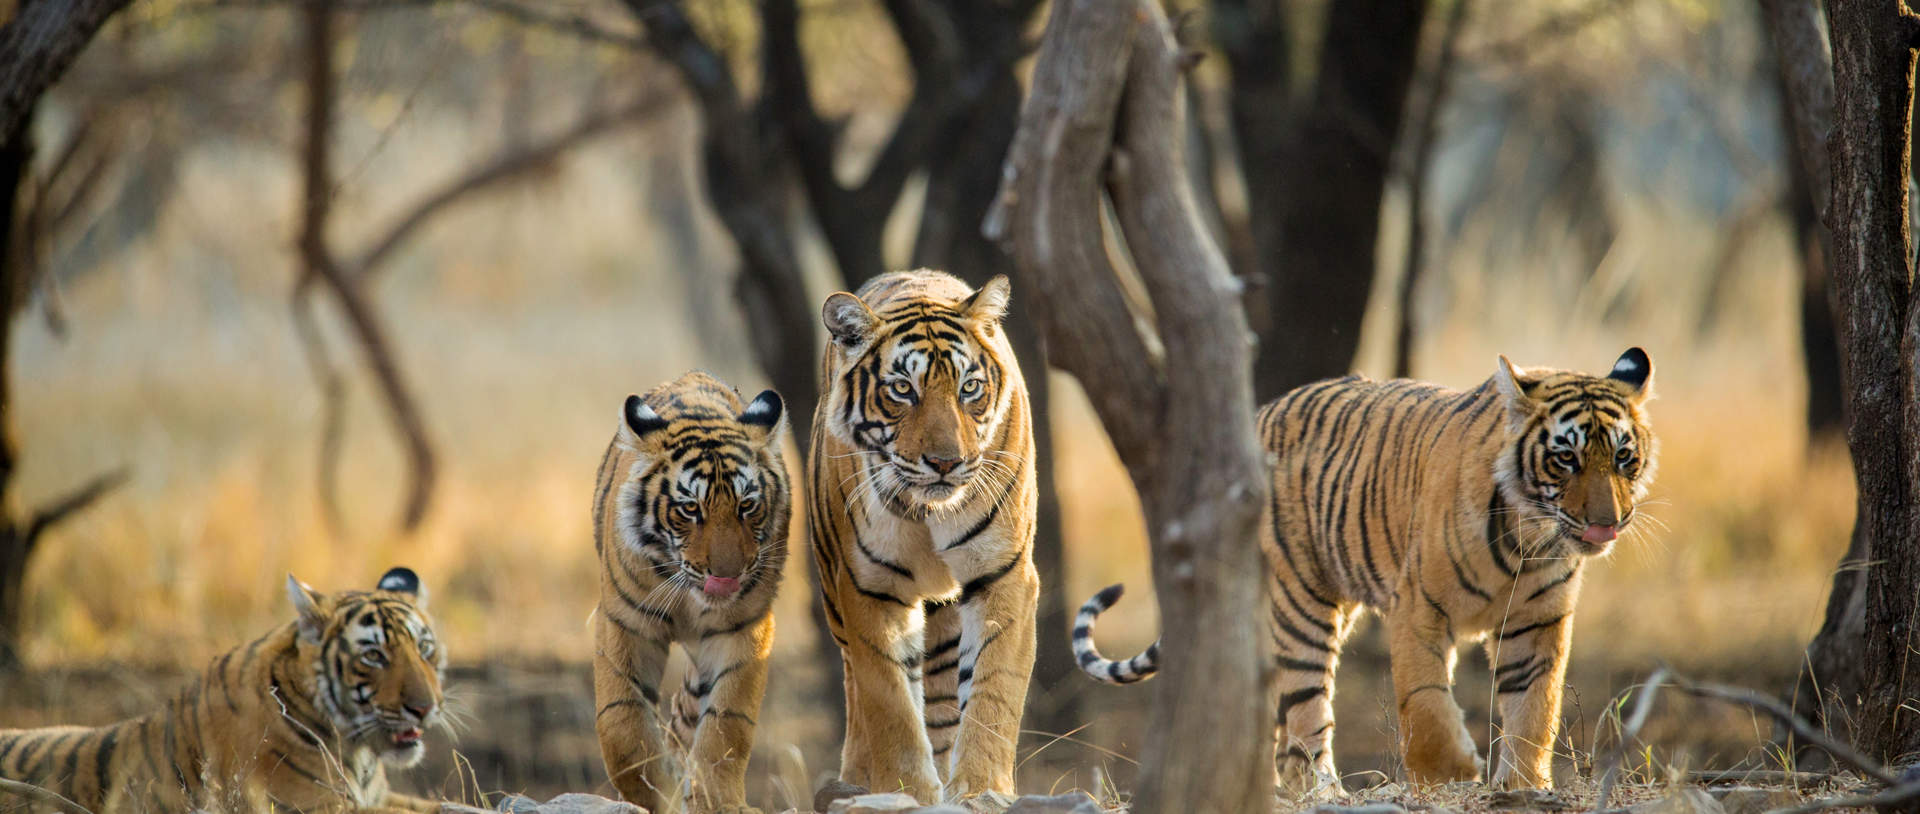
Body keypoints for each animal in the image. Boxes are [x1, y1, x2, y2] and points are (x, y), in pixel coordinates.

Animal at [591, 371, 789, 814]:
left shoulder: (743, 628)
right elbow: (622, 726)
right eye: (690, 509)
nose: (727, 576)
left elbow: (726, 725)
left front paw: (714, 800)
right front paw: (654, 791)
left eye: (747, 506)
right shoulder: (625, 623)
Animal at [807, 270, 1039, 804]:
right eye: (902, 389)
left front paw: (981, 789)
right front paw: (907, 790)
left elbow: (993, 691)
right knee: (858, 693)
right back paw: (854, 780)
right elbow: (889, 703)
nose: (946, 463)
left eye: (969, 387)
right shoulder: (870, 588)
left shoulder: (1003, 574)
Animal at [1073, 348, 1658, 792]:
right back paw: (1322, 791)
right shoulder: (1418, 607)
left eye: (1623, 457)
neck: (1528, 538)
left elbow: (1535, 708)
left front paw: (1524, 785)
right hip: (1301, 604)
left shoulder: (1537, 623)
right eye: (1566, 459)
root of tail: (1258, 415)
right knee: (1306, 713)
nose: (1607, 523)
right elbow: (1424, 703)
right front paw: (1450, 775)